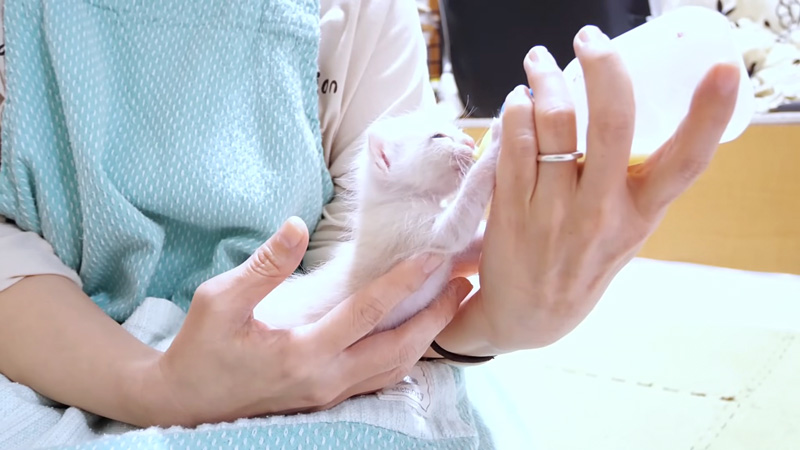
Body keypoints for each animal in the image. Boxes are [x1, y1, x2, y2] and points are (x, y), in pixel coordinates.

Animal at [253, 108, 501, 333]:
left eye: (459, 131)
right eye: (439, 136)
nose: (470, 141)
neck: (397, 198)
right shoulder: (408, 231)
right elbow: (460, 220)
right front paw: (495, 145)